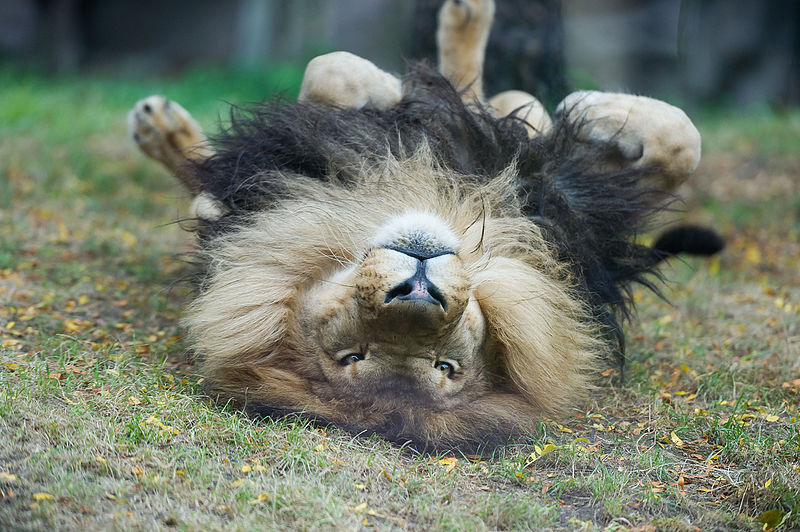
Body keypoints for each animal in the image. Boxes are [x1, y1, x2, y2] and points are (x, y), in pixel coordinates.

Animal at [128, 0, 720, 450]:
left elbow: (684, 140)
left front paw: (592, 109)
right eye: (352, 355)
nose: (417, 290)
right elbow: (329, 68)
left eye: (445, 367)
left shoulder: (578, 219)